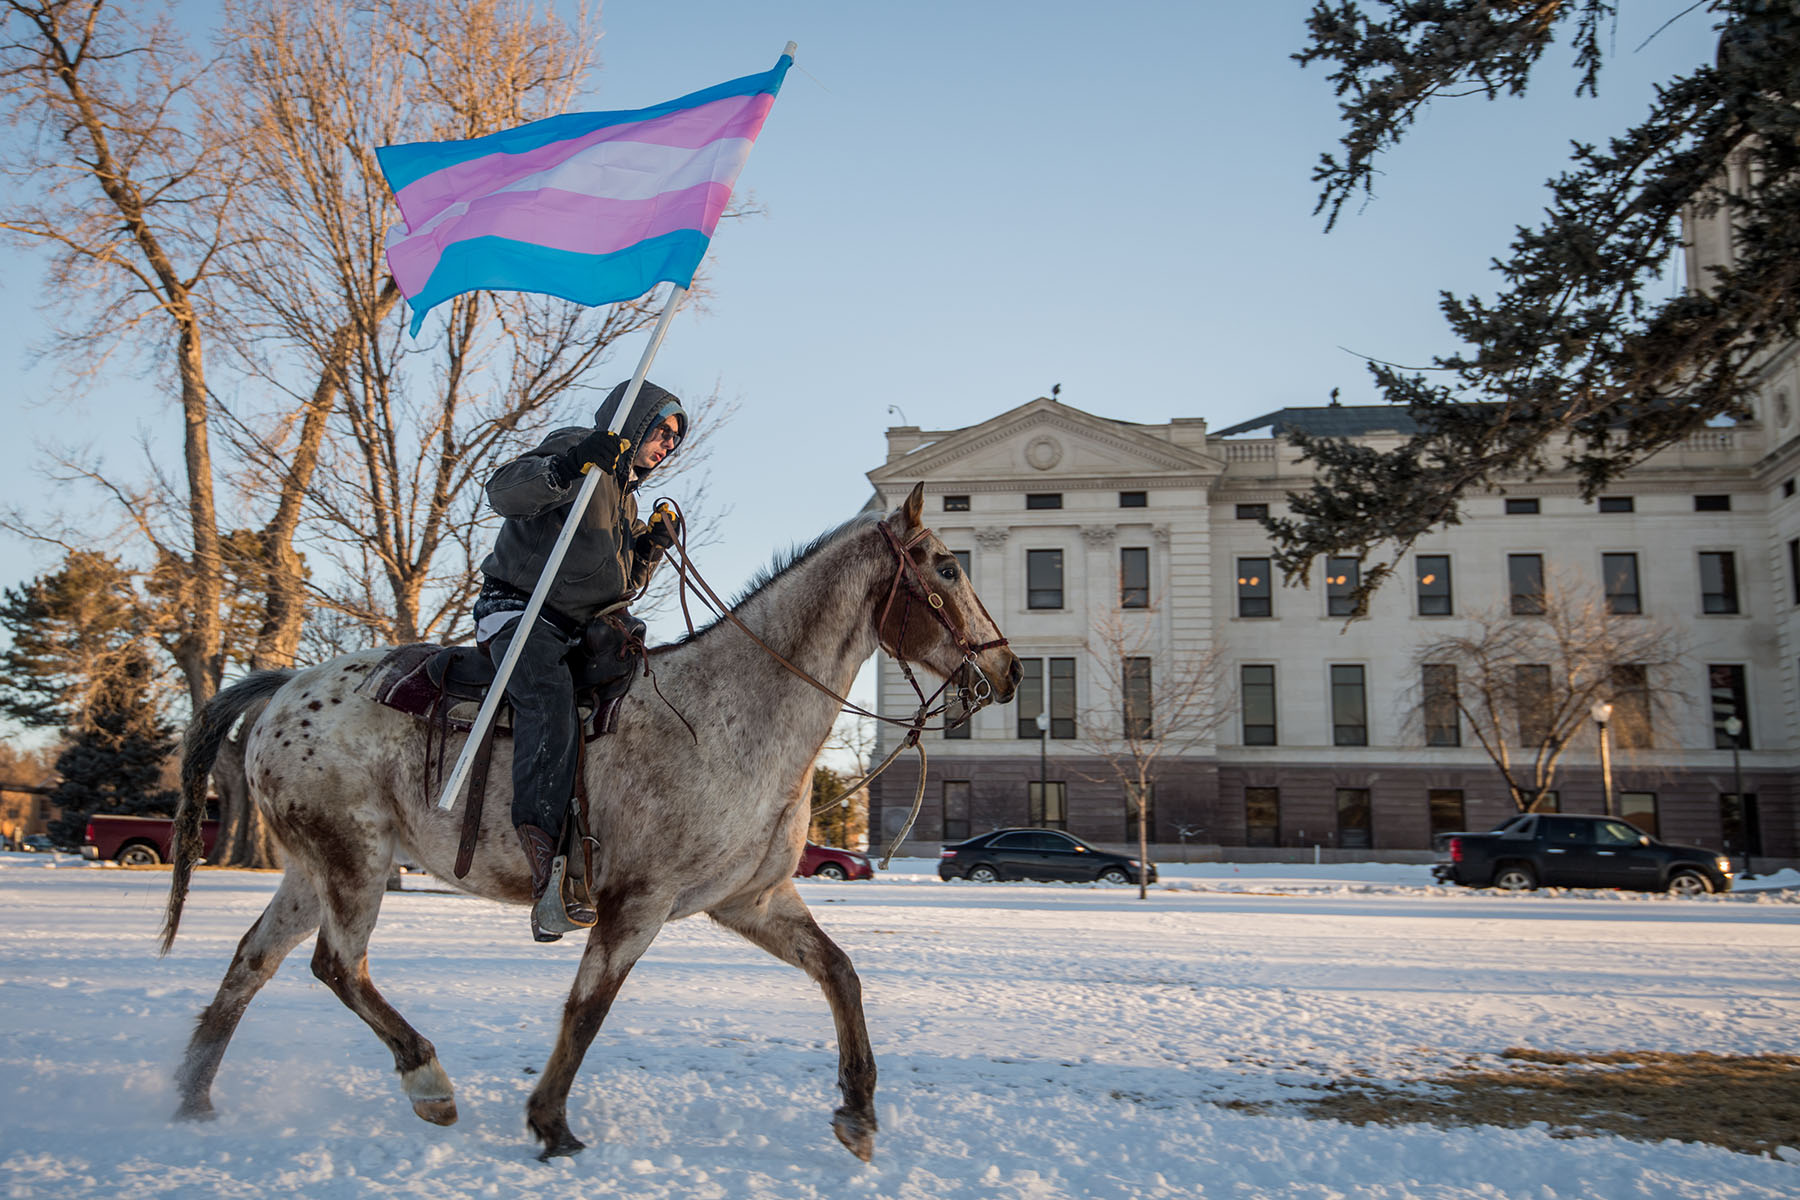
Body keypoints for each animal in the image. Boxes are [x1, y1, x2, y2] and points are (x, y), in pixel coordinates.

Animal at [162, 485, 1022, 1165]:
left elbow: (840, 973)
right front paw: (551, 1123)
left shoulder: (752, 899)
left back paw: (193, 1098)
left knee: (252, 963)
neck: (733, 710)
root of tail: (284, 688)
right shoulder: (636, 902)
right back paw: (428, 1081)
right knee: (338, 967)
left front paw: (859, 1112)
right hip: (355, 862)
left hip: (312, 871)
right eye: (947, 565)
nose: (1009, 668)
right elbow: (587, 1009)